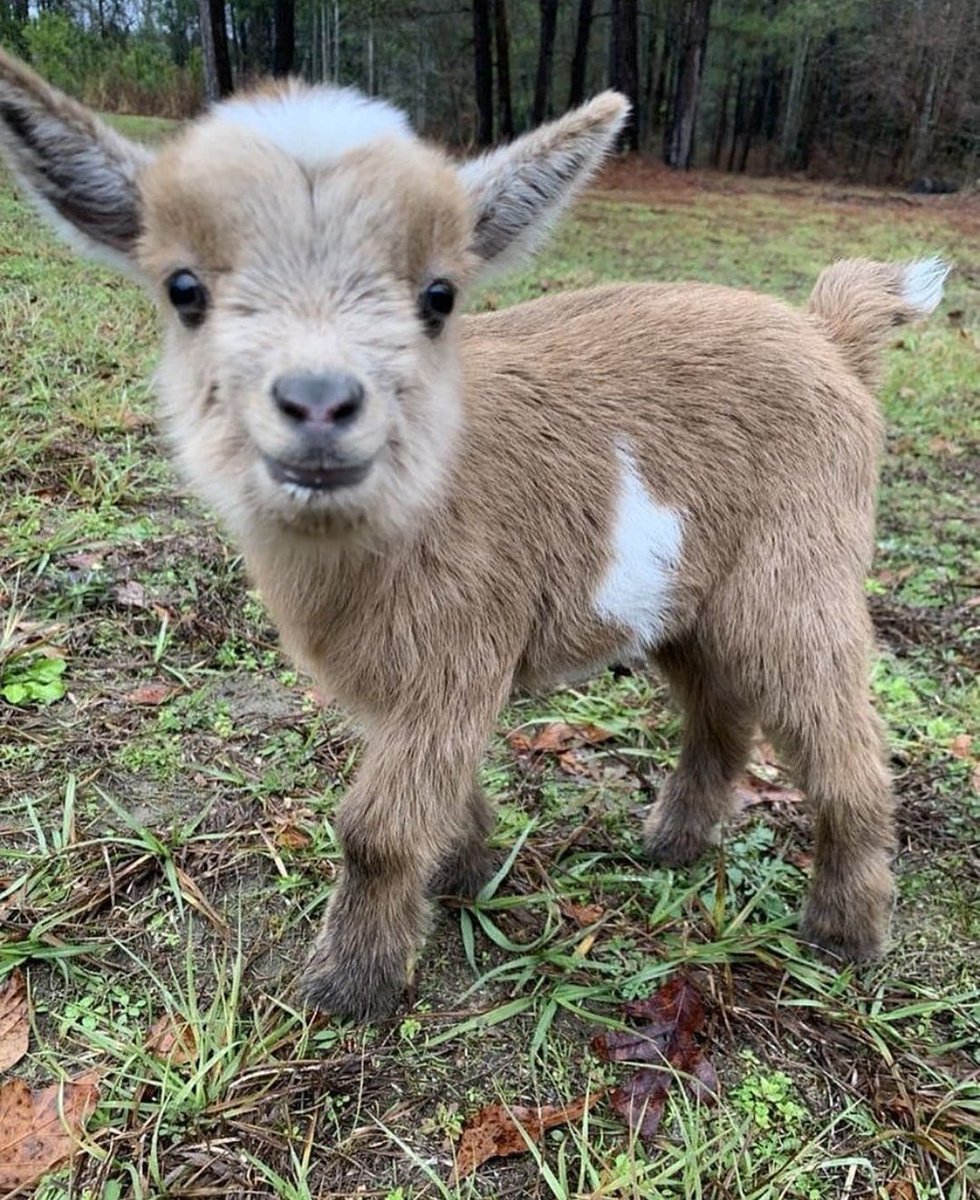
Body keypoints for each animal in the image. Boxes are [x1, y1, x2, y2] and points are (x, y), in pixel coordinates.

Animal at [0, 52, 948, 1020]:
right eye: (184, 290)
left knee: (841, 740)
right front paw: (468, 873)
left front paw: (351, 985)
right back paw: (671, 844)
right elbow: (439, 795)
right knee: (722, 710)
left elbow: (375, 830)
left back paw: (845, 932)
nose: (319, 403)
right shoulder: (394, 677)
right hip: (687, 598)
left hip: (798, 573)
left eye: (439, 295)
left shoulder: (456, 648)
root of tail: (831, 336)